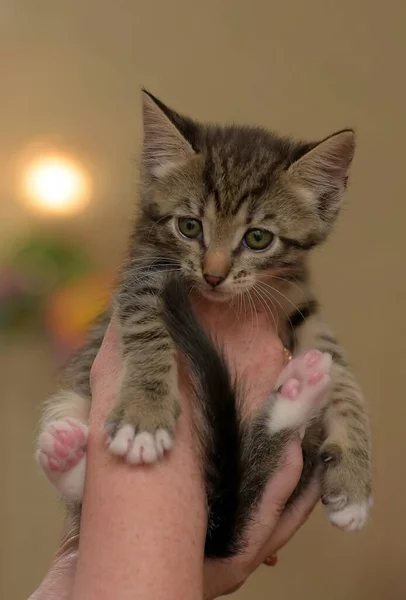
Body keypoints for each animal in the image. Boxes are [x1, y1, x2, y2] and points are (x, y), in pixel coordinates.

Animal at [36, 90, 372, 556]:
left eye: (258, 238)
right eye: (189, 226)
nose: (213, 275)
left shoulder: (301, 304)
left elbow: (342, 375)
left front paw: (355, 484)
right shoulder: (143, 276)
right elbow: (149, 330)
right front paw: (144, 416)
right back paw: (66, 455)